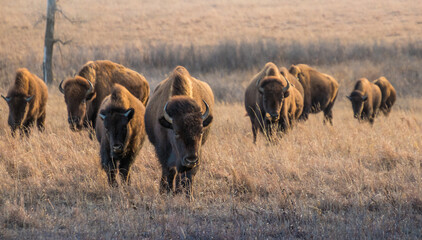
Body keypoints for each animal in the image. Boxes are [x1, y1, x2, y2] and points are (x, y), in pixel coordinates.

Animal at [145, 65, 214, 199]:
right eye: (176, 132)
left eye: (201, 132)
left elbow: (189, 175)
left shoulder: (197, 153)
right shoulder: (163, 151)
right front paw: (167, 192)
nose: (191, 160)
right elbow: (169, 171)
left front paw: (189, 196)